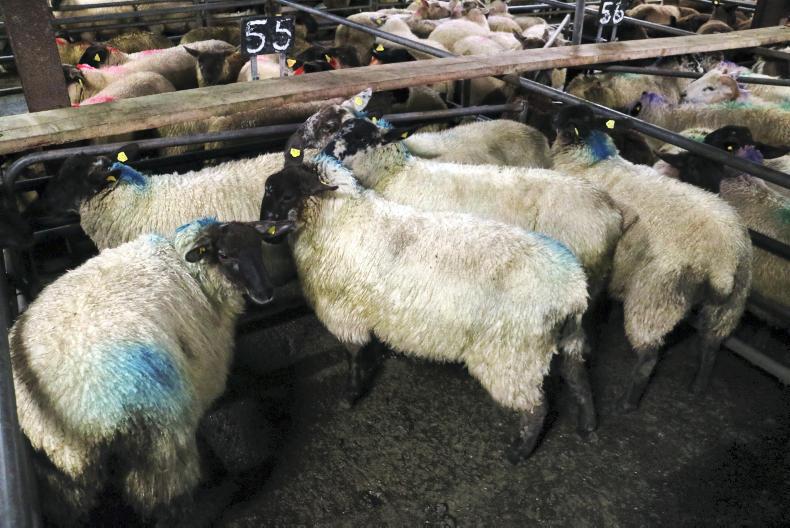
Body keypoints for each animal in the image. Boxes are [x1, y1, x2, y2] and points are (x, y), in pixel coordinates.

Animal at [10, 217, 286, 525]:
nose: (266, 293)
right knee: (162, 501)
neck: (188, 267)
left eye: (258, 246)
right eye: (225, 255)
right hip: (159, 446)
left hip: (61, 480)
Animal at [259, 137, 597, 462]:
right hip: (565, 340)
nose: (262, 232)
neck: (338, 220)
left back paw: (519, 452)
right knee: (578, 379)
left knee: (537, 407)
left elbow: (354, 356)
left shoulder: (343, 313)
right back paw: (588, 426)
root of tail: (573, 292)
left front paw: (350, 395)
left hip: (512, 356)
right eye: (268, 190)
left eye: (286, 196)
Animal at [551, 105, 752, 411]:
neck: (593, 161)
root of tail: (724, 262)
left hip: (656, 294)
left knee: (649, 356)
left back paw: (629, 402)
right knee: (711, 345)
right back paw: (698, 386)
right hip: (733, 303)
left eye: (565, 119)